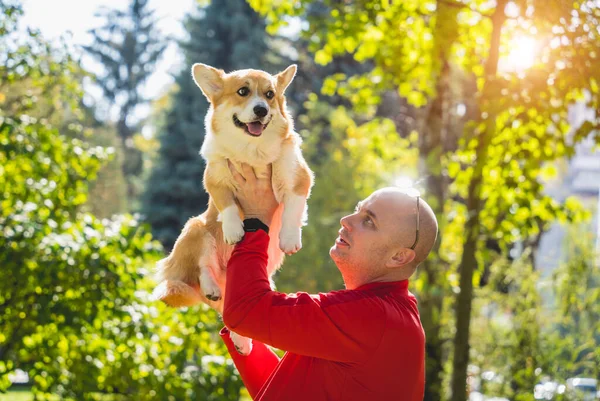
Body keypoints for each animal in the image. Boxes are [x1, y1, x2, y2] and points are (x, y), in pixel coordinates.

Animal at [152, 62, 314, 354]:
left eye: (270, 95)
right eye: (243, 91)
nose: (261, 110)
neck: (253, 149)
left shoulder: (299, 178)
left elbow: (293, 210)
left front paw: (288, 239)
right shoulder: (214, 178)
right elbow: (226, 205)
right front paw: (234, 230)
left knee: (232, 313)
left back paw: (242, 341)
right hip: (195, 228)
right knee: (202, 268)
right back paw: (212, 289)